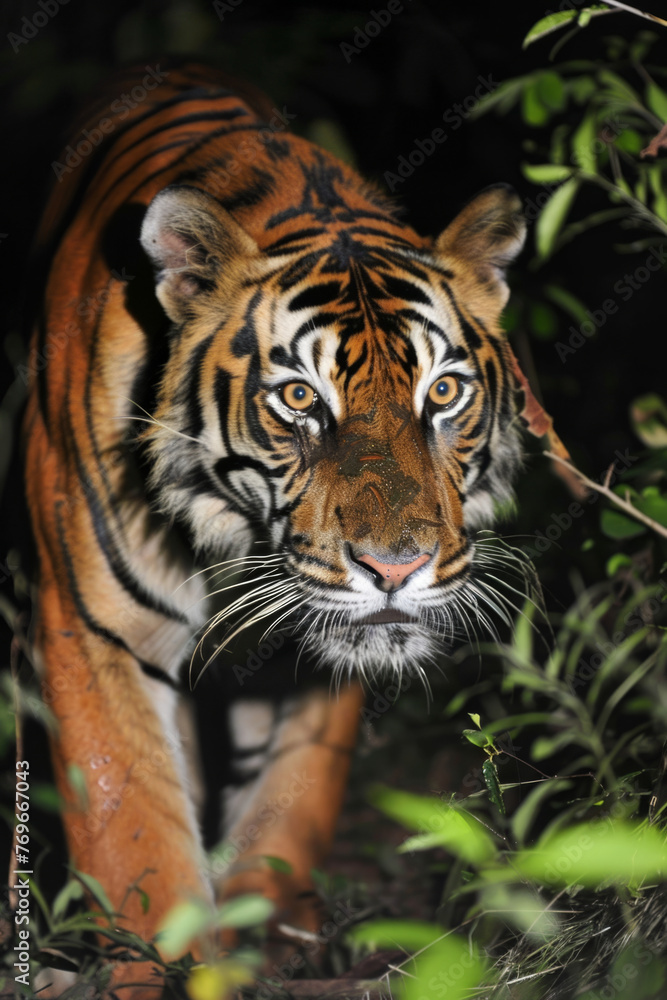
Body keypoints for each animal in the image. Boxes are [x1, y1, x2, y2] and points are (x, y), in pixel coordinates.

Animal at [23, 61, 527, 997]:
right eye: (298, 398)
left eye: (443, 392)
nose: (395, 568)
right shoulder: (92, 628)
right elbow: (131, 819)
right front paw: (165, 964)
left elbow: (298, 791)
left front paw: (270, 928)